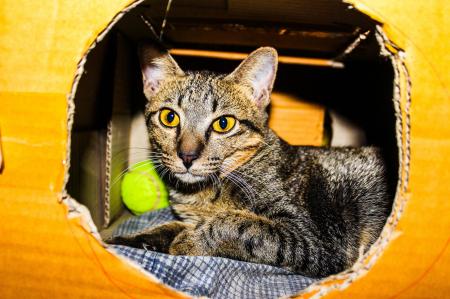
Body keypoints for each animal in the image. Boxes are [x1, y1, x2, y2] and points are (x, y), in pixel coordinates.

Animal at [107, 45, 392, 280]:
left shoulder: (315, 240)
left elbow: (240, 225)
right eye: (169, 117)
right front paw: (126, 241)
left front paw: (190, 241)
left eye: (224, 123)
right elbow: (168, 226)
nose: (187, 156)